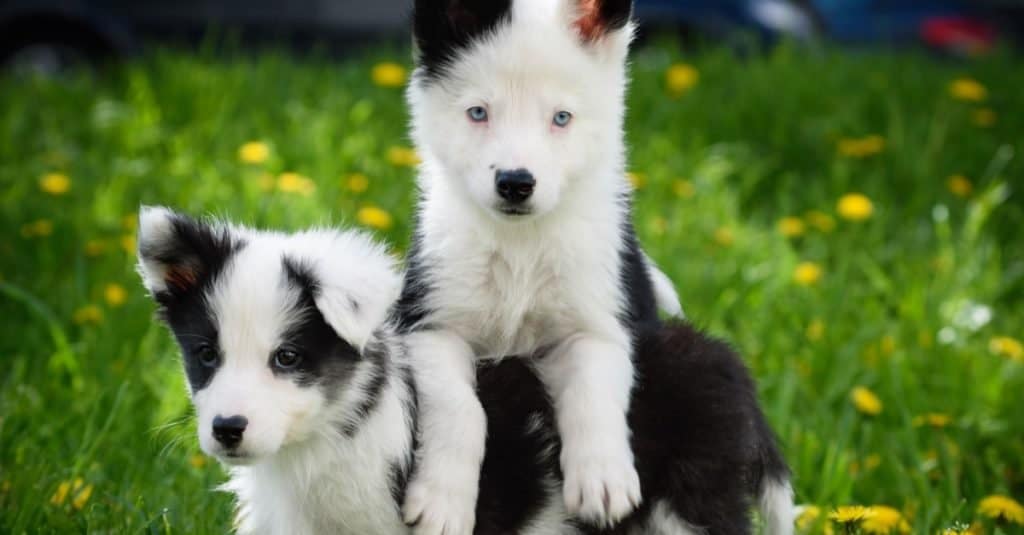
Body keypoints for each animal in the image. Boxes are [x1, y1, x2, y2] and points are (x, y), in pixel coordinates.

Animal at [134, 207, 790, 532]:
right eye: (206, 355)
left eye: (287, 357)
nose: (227, 430)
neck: (326, 441)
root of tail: (721, 355)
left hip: (690, 503)